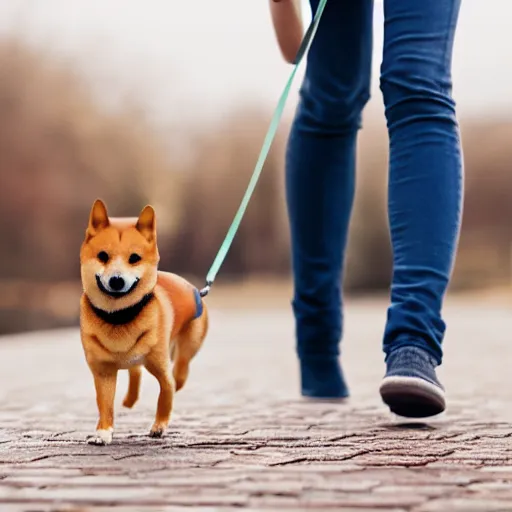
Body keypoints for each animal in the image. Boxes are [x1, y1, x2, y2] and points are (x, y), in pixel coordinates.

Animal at [80, 199, 208, 444]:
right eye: (103, 256)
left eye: (134, 258)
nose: (117, 280)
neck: (119, 316)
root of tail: (195, 288)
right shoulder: (103, 372)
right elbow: (105, 405)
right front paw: (103, 432)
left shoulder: (161, 367)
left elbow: (165, 394)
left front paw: (159, 426)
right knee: (136, 372)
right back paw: (129, 400)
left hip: (187, 347)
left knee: (180, 371)